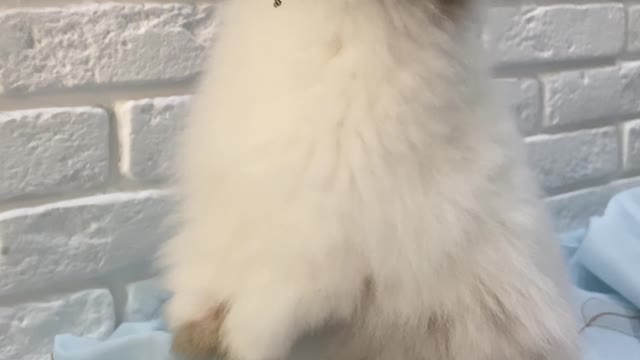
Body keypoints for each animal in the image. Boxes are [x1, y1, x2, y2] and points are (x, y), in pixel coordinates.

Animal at [159, 0, 580, 360]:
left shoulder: (325, 250)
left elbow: (272, 315)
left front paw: (240, 342)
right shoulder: (219, 229)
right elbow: (200, 280)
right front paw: (192, 332)